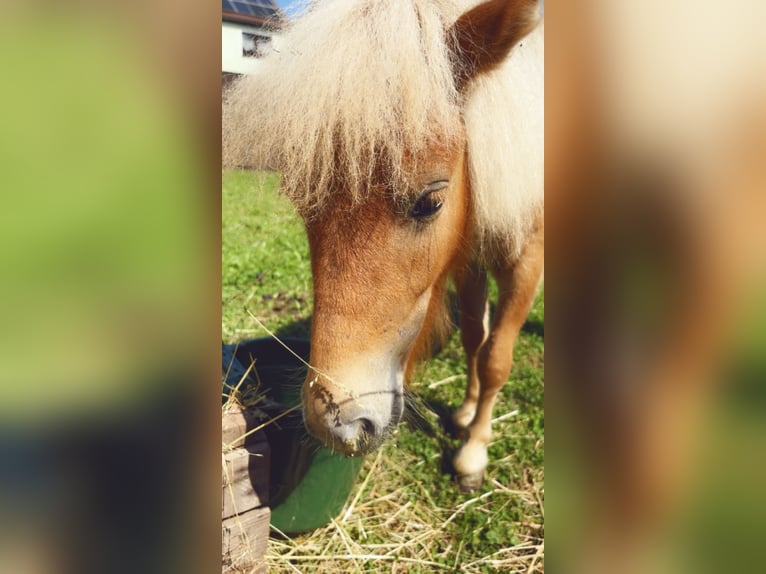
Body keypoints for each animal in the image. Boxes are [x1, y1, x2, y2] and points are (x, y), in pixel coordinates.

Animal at [224, 0, 544, 492]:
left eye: (430, 201)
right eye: (302, 203)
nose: (336, 424)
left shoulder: (528, 260)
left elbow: (495, 359)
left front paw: (473, 452)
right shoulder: (468, 259)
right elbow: (475, 338)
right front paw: (466, 414)